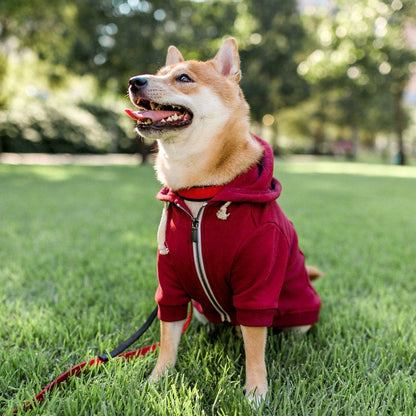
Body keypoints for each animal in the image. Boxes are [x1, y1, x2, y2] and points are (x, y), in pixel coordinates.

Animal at [126, 38, 322, 404]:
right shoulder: (170, 283)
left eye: (183, 78)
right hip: (203, 311)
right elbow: (167, 339)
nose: (134, 81)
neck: (200, 195)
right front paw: (157, 379)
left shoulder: (258, 280)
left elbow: (255, 346)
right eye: (159, 72)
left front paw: (256, 391)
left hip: (299, 314)